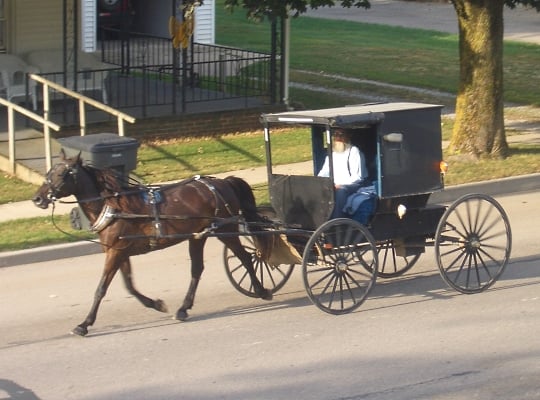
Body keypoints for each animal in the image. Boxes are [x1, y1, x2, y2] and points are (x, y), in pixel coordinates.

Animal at [31, 148, 272, 336]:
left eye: (62, 173)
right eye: (49, 172)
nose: (38, 198)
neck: (113, 207)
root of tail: (222, 182)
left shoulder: (116, 251)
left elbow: (101, 288)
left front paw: (84, 324)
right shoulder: (120, 251)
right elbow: (129, 285)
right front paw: (156, 304)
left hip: (225, 229)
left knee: (245, 257)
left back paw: (261, 290)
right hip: (199, 235)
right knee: (197, 269)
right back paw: (184, 308)